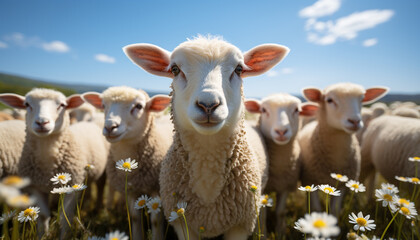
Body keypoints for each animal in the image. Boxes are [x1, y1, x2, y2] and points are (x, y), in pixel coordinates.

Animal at [0, 89, 110, 237]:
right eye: (27, 104)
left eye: (62, 105)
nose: (42, 122)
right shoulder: (36, 188)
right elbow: (43, 216)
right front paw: (42, 235)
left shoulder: (72, 187)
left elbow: (65, 218)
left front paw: (64, 236)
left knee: (100, 186)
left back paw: (98, 208)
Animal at [82, 86, 172, 240]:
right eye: (103, 105)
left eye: (139, 106)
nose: (110, 127)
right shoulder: (131, 190)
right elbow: (135, 218)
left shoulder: (156, 188)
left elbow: (155, 220)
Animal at [243, 94, 318, 234]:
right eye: (263, 110)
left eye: (297, 110)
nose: (281, 131)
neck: (279, 167)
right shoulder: (262, 189)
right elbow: (262, 215)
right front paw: (263, 234)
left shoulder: (285, 185)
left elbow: (280, 212)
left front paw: (280, 232)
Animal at [296, 83, 388, 214]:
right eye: (329, 100)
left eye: (362, 99)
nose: (355, 121)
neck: (335, 160)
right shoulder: (309, 179)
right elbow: (316, 209)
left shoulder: (343, 186)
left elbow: (334, 210)